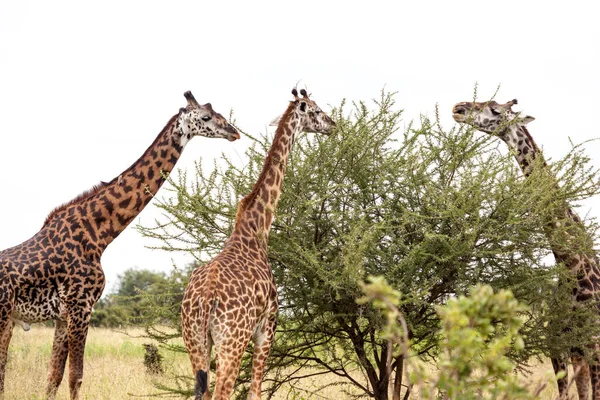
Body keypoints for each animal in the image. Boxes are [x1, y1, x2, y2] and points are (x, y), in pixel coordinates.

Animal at [0, 91, 239, 400]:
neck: (98, 234)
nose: (234, 132)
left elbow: (53, 377)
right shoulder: (81, 308)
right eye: (207, 117)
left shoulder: (63, 317)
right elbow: (76, 377)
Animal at [180, 88, 336, 400]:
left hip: (195, 341)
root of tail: (205, 300)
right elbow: (255, 391)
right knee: (223, 392)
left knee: (202, 392)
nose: (333, 125)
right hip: (232, 341)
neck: (256, 230)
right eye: (316, 111)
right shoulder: (267, 328)